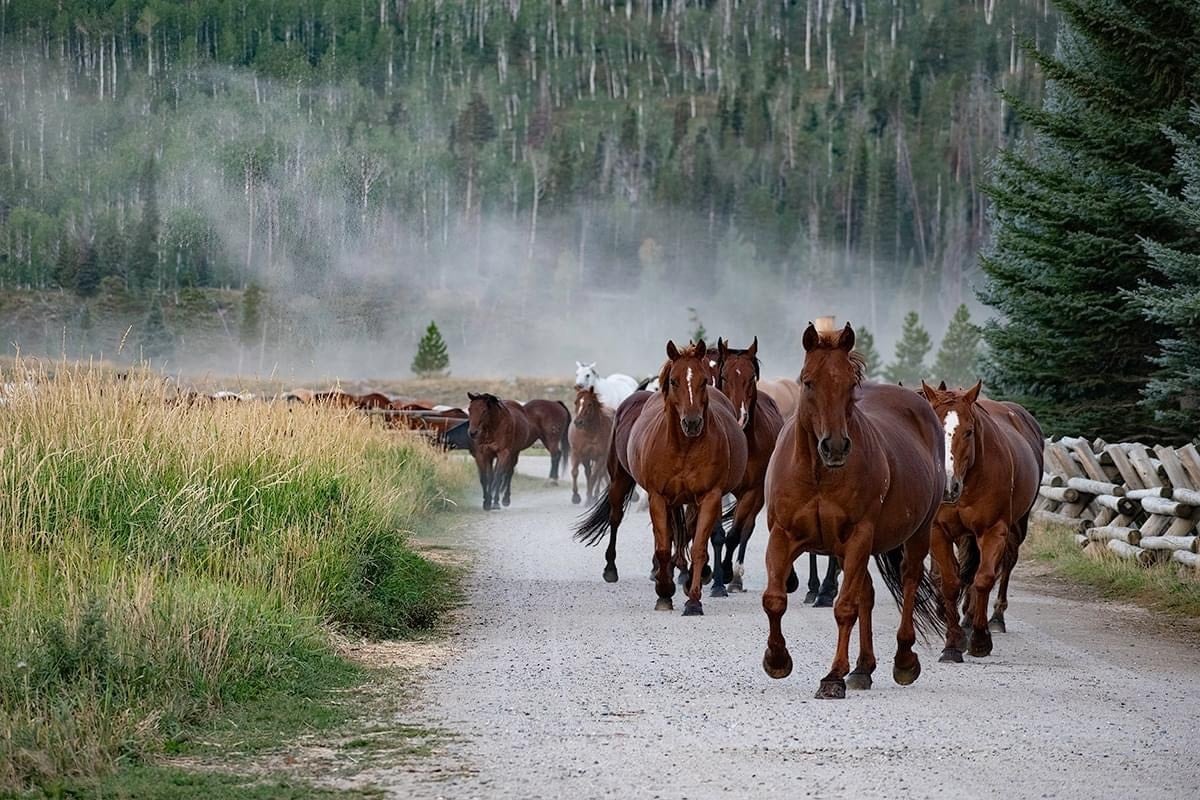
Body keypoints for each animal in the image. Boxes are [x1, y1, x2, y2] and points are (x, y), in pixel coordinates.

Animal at [575, 340, 747, 616]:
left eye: (703, 381)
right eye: (674, 381)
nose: (692, 423)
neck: (684, 447)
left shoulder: (709, 497)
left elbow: (697, 546)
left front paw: (693, 598)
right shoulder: (657, 496)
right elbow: (664, 545)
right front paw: (664, 592)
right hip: (620, 479)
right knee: (615, 517)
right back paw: (612, 569)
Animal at [708, 337, 784, 596]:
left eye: (751, 377)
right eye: (724, 377)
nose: (739, 416)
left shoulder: (753, 491)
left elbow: (735, 534)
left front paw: (727, 574)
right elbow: (716, 532)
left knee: (746, 529)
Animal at [761, 322, 945, 699]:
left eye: (849, 384)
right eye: (808, 381)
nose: (834, 446)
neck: (818, 475)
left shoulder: (859, 536)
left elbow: (845, 608)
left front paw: (833, 676)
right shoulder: (783, 536)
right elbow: (774, 599)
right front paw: (777, 659)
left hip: (917, 534)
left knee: (908, 582)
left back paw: (903, 660)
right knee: (868, 594)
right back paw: (862, 668)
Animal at [920, 380, 1043, 662]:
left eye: (968, 432)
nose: (948, 486)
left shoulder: (993, 530)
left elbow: (984, 578)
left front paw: (979, 640)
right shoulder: (937, 531)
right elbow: (950, 581)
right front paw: (952, 644)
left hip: (1017, 526)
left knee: (1005, 564)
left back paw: (995, 617)